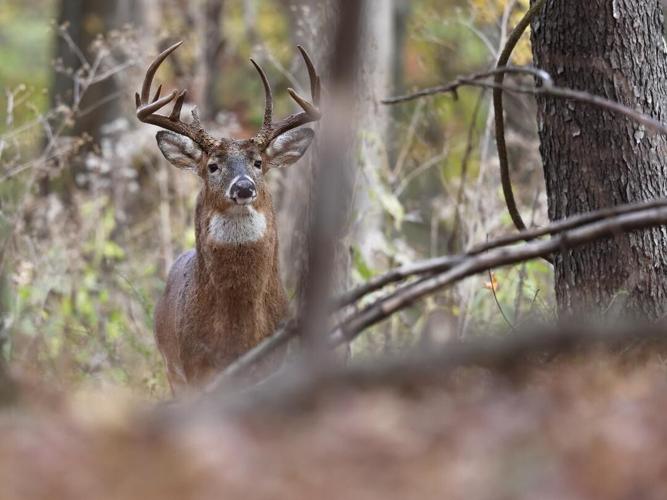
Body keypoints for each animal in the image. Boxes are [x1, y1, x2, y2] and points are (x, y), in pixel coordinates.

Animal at [136, 42, 320, 394]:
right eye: (212, 166)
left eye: (258, 162)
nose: (244, 187)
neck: (237, 333)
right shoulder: (194, 368)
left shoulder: (273, 361)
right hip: (171, 372)